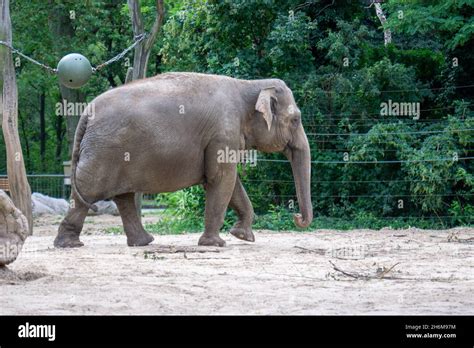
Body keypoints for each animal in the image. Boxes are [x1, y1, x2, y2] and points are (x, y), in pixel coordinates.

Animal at [53, 72, 312, 247]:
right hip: (104, 153)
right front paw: (215, 244)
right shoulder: (222, 134)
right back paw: (70, 244)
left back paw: (143, 242)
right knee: (87, 192)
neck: (248, 84)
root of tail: (86, 112)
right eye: (296, 119)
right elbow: (222, 179)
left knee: (123, 198)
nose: (297, 217)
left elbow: (231, 181)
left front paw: (243, 237)